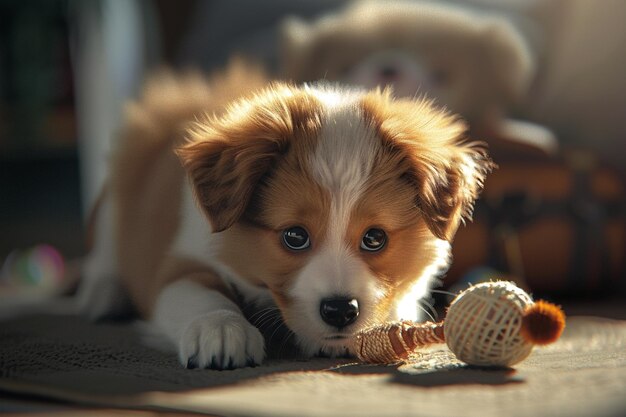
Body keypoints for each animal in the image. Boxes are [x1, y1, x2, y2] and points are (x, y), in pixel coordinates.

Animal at [78, 63, 490, 368]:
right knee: (105, 257)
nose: (340, 311)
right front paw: (221, 329)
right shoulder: (178, 263)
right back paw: (102, 295)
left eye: (375, 238)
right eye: (295, 236)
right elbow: (200, 292)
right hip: (117, 194)